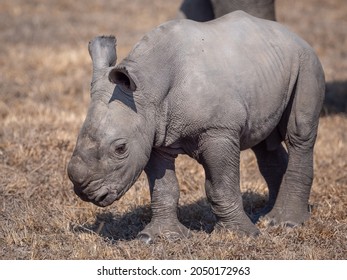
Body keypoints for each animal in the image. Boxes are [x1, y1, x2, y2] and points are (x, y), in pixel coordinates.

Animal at [67, 10, 326, 243]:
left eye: (120, 149)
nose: (84, 191)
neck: (147, 87)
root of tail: (294, 35)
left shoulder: (218, 131)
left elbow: (221, 185)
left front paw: (239, 236)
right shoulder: (152, 133)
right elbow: (164, 187)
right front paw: (159, 238)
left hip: (306, 61)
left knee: (299, 135)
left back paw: (285, 223)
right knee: (264, 143)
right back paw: (266, 216)